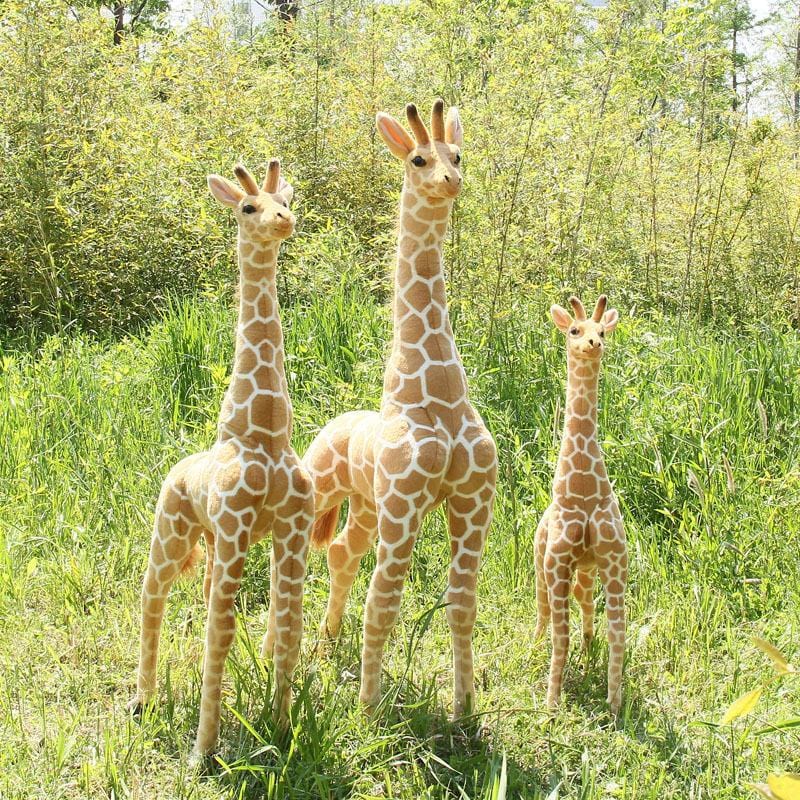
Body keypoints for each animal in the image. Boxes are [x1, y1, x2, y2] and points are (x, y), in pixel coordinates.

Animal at [128, 160, 314, 760]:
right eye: (247, 207)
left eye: (285, 200)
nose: (283, 222)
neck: (265, 435)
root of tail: (177, 468)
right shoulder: (235, 528)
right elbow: (222, 634)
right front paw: (202, 753)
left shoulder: (291, 531)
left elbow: (288, 626)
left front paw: (280, 729)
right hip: (172, 530)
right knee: (152, 596)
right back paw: (143, 700)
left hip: (212, 543)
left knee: (204, 597)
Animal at [302, 100, 497, 717]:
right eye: (418, 159)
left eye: (458, 153)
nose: (450, 181)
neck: (438, 394)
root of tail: (332, 424)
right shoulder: (406, 502)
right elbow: (383, 604)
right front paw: (367, 711)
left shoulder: (472, 500)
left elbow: (462, 603)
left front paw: (464, 709)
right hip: (322, 489)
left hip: (366, 508)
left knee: (342, 553)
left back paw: (325, 643)